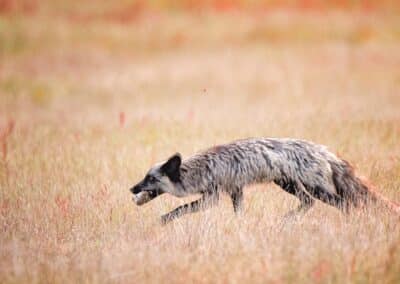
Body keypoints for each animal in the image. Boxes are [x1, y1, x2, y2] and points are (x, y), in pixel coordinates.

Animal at [130, 138, 398, 224]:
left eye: (150, 179)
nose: (132, 189)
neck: (202, 168)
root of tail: (323, 151)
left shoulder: (213, 196)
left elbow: (182, 208)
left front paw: (164, 220)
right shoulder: (236, 190)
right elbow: (239, 211)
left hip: (317, 189)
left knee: (345, 203)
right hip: (288, 184)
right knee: (309, 203)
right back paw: (288, 220)